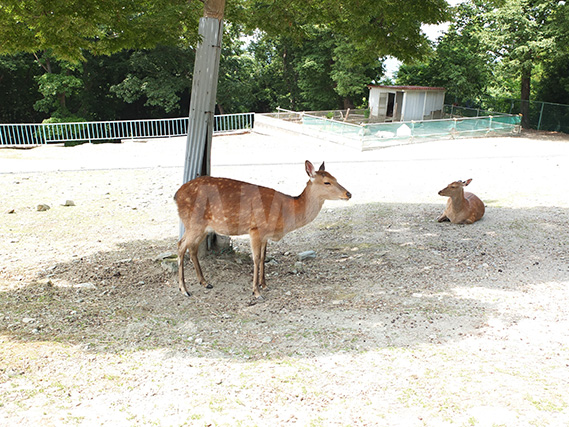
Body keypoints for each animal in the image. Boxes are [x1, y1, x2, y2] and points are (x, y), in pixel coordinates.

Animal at [173, 162, 350, 300]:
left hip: (202, 227)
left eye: (335, 178)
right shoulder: (255, 229)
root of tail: (176, 196)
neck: (285, 212)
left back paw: (204, 282)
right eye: (327, 182)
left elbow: (264, 257)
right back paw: (184, 289)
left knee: (192, 248)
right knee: (180, 245)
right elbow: (256, 259)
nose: (349, 193)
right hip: (194, 223)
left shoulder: (265, 235)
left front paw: (264, 284)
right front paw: (256, 292)